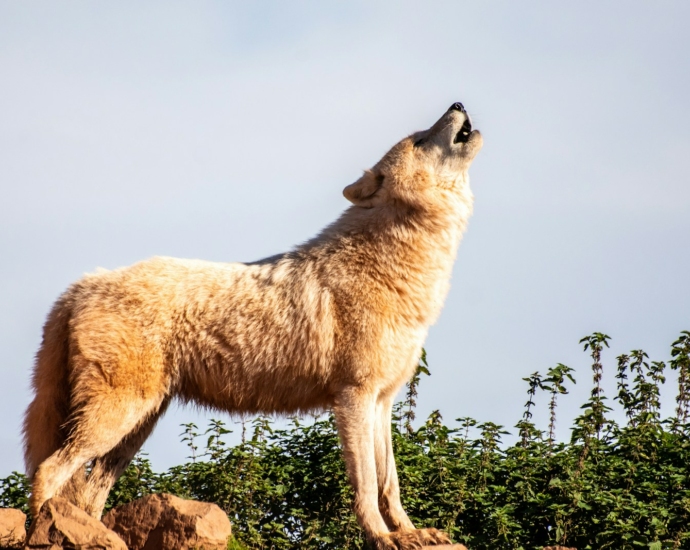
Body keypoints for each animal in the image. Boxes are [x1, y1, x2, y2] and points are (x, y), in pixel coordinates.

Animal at [24, 102, 482, 548]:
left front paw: (411, 533)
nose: (458, 103)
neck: (393, 265)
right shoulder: (354, 396)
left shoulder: (383, 401)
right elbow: (367, 484)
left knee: (88, 493)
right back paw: (45, 532)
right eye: (420, 139)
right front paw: (382, 538)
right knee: (48, 470)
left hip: (136, 425)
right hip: (117, 416)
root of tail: (80, 286)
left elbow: (391, 483)